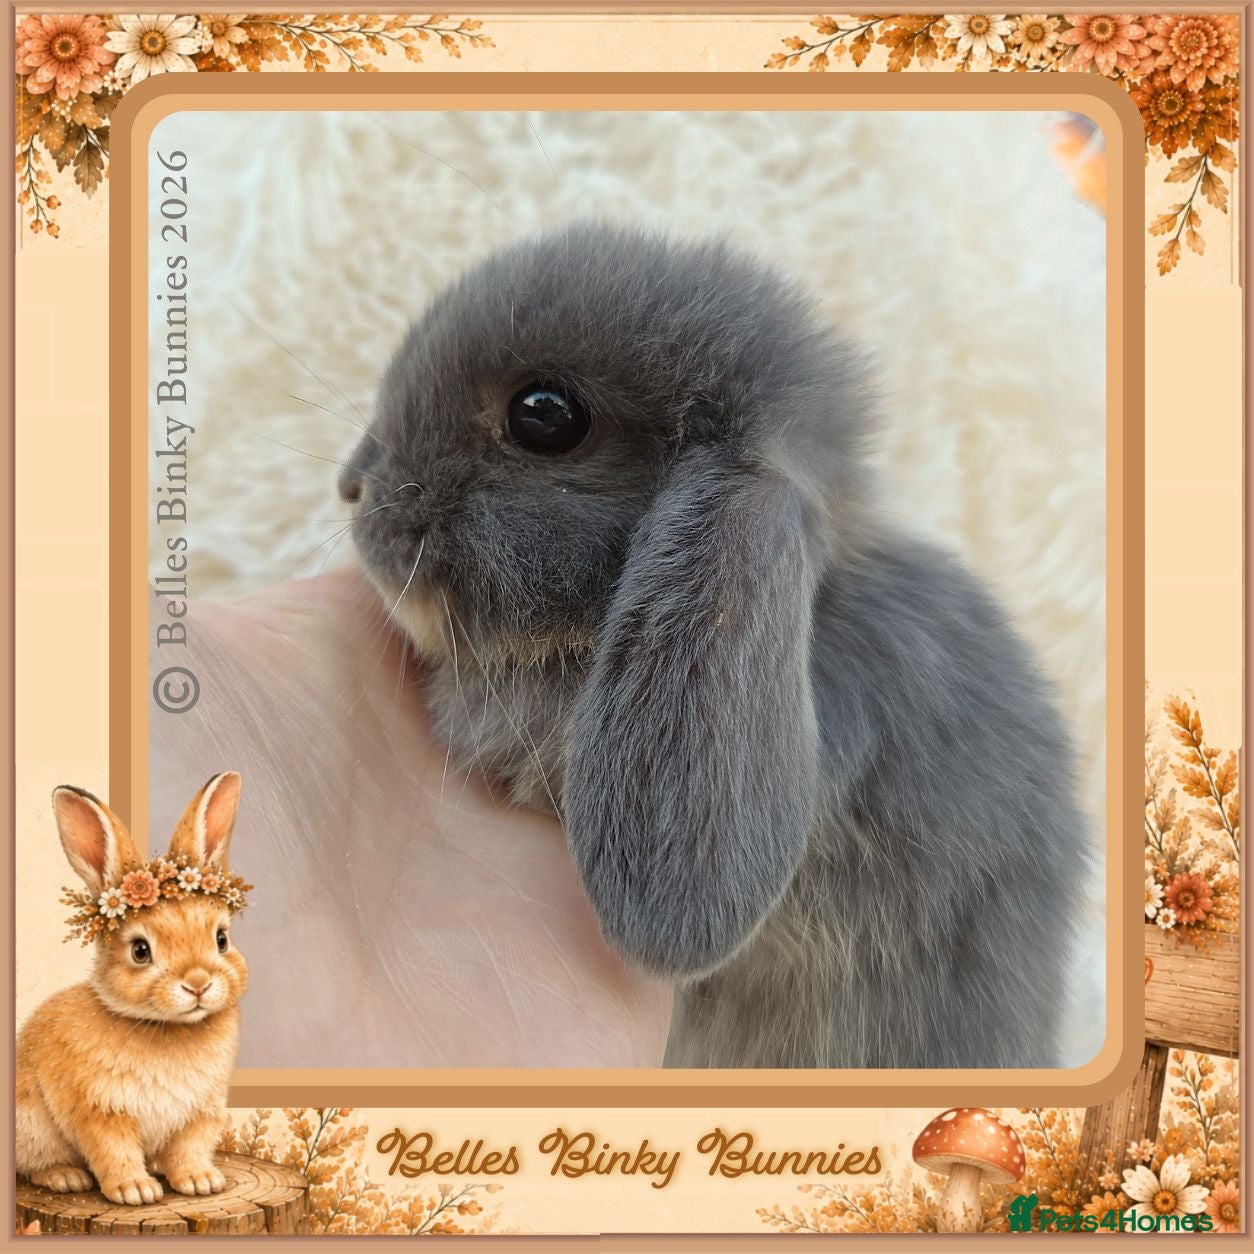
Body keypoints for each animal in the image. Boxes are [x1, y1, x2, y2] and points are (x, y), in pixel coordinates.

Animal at [16, 774, 249, 1203]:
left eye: (221, 939)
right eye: (141, 951)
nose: (198, 984)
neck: (168, 1029)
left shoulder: (201, 1112)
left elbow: (190, 1148)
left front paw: (201, 1181)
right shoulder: (102, 1111)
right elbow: (114, 1150)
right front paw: (135, 1191)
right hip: (31, 1126)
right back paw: (65, 1177)